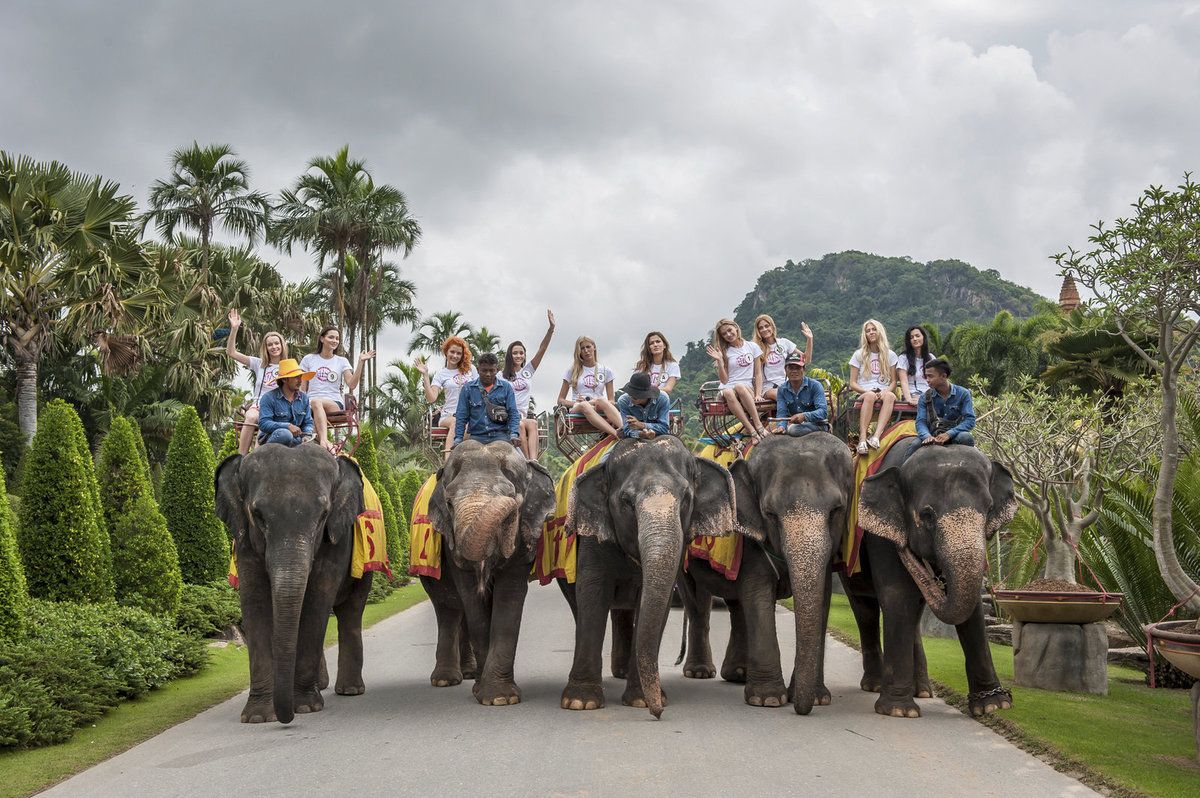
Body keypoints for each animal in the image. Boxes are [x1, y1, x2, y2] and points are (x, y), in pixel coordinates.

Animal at [213, 444, 367, 724]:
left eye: (323, 515)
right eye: (257, 515)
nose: (287, 718)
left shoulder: (338, 537)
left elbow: (317, 600)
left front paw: (305, 707)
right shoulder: (244, 539)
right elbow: (255, 603)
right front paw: (259, 717)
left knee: (350, 611)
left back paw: (349, 690)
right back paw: (322, 685)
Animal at [420, 439, 554, 705]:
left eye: (512, 494)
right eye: (449, 504)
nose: (512, 505)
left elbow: (509, 597)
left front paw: (500, 698)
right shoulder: (451, 546)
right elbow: (472, 601)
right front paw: (492, 695)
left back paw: (470, 674)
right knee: (448, 609)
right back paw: (447, 680)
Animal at [556, 432, 734, 720]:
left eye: (686, 498)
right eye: (626, 501)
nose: (658, 712)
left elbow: (655, 601)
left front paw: (640, 700)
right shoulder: (593, 535)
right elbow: (592, 593)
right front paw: (580, 703)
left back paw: (624, 672)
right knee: (579, 605)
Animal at [681, 432, 859, 710]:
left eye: (836, 511)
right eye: (770, 513)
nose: (801, 709)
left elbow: (822, 597)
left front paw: (818, 698)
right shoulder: (752, 538)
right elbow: (758, 594)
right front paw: (768, 699)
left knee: (736, 605)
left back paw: (738, 674)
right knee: (697, 600)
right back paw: (700, 672)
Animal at [844, 441, 1022, 715]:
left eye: (989, 509)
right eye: (926, 515)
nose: (937, 578)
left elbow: (972, 609)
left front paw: (993, 705)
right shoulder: (880, 539)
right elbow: (897, 596)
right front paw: (899, 711)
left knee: (914, 616)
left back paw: (923, 691)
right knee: (865, 610)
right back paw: (875, 686)